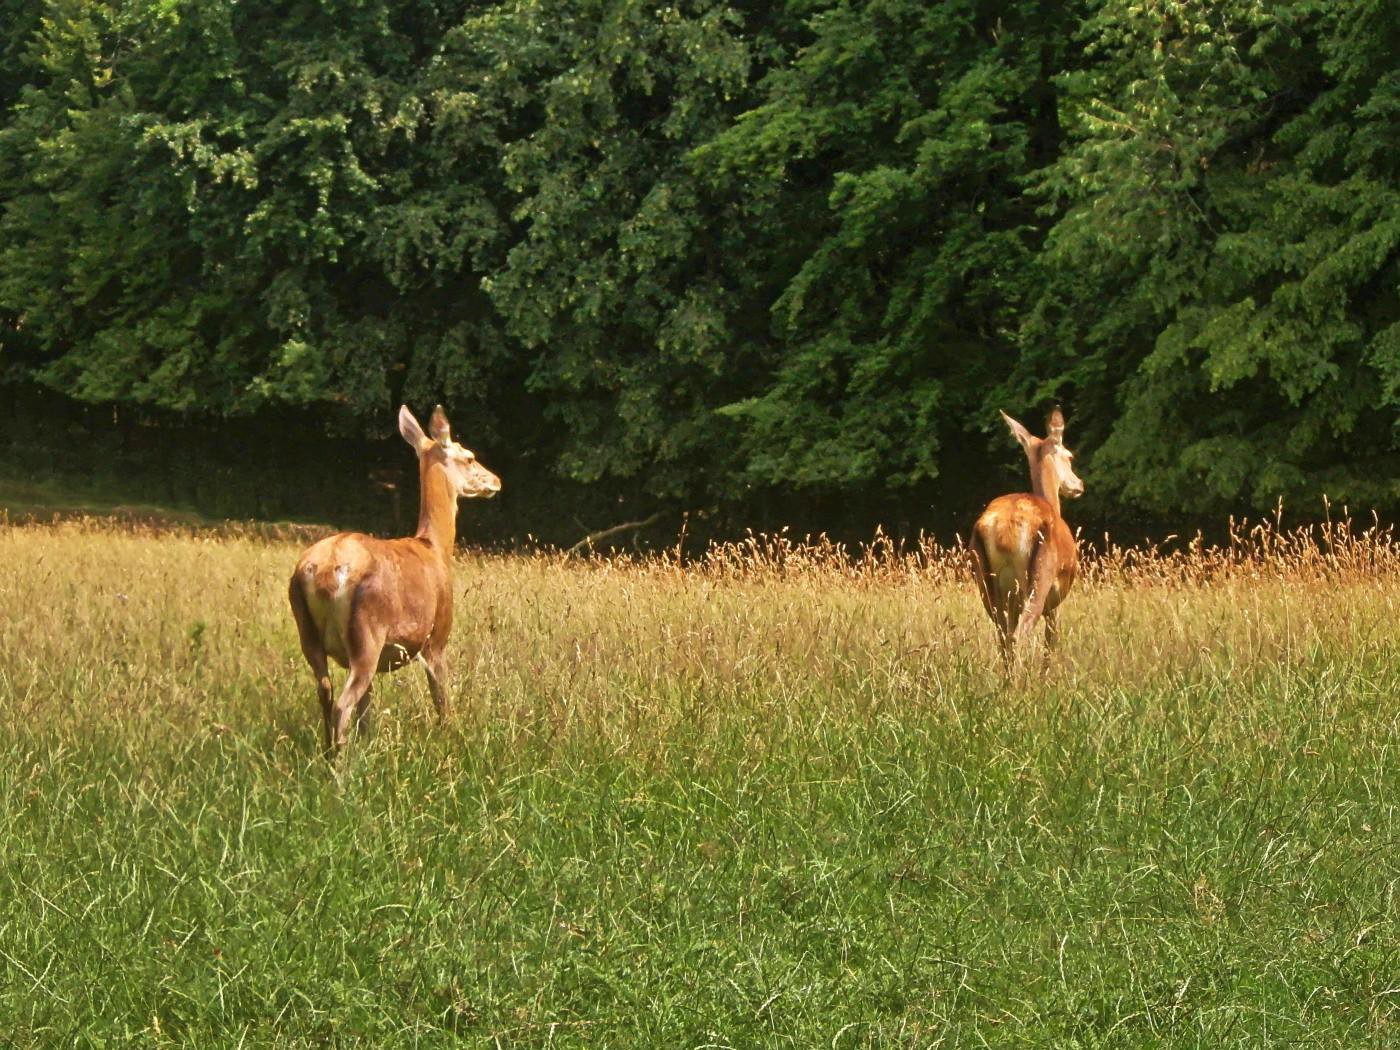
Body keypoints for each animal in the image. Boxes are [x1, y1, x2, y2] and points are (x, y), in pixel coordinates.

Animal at [287, 403, 501, 756]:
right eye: (469, 457)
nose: (496, 481)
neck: (435, 547)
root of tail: (326, 571)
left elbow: (368, 713)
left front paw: (369, 745)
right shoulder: (436, 637)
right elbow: (443, 703)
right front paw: (452, 741)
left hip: (309, 633)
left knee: (326, 692)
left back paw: (330, 753)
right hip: (368, 634)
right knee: (342, 704)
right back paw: (341, 766)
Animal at [968, 406, 1086, 669]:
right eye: (1070, 456)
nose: (1079, 484)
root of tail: (1004, 532)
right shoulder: (1056, 597)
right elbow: (1050, 644)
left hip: (989, 585)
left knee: (1004, 637)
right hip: (1039, 578)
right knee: (1019, 633)